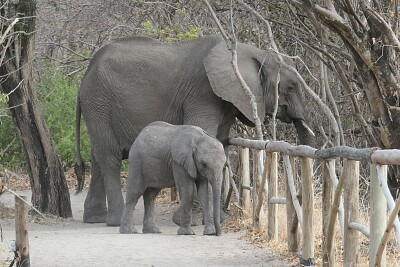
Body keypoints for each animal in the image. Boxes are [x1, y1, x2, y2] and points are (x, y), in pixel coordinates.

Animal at [74, 34, 312, 226]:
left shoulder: (226, 100)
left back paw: (95, 219)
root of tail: (85, 75)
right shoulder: (203, 93)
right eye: (290, 87)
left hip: (97, 107)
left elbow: (220, 144)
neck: (250, 52)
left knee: (97, 156)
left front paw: (219, 219)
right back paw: (116, 221)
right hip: (99, 103)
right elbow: (203, 135)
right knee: (109, 157)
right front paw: (193, 221)